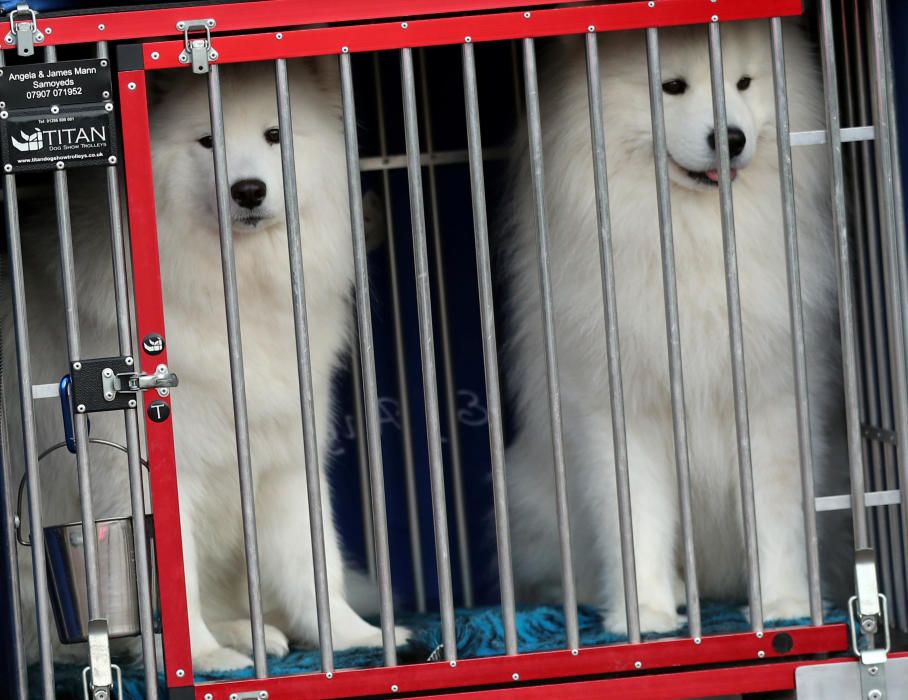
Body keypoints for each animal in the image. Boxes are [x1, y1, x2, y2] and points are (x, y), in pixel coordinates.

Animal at [3, 60, 400, 672]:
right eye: (208, 142)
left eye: (275, 134)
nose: (249, 190)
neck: (234, 293)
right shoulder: (146, 476)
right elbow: (174, 581)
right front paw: (201, 659)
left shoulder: (283, 453)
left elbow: (314, 561)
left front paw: (354, 637)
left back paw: (248, 631)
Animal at [504, 20, 844, 636]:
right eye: (672, 86)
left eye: (742, 82)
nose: (730, 138)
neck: (692, 241)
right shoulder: (622, 413)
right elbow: (636, 521)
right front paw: (647, 615)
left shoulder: (772, 398)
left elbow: (776, 515)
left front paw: (783, 603)